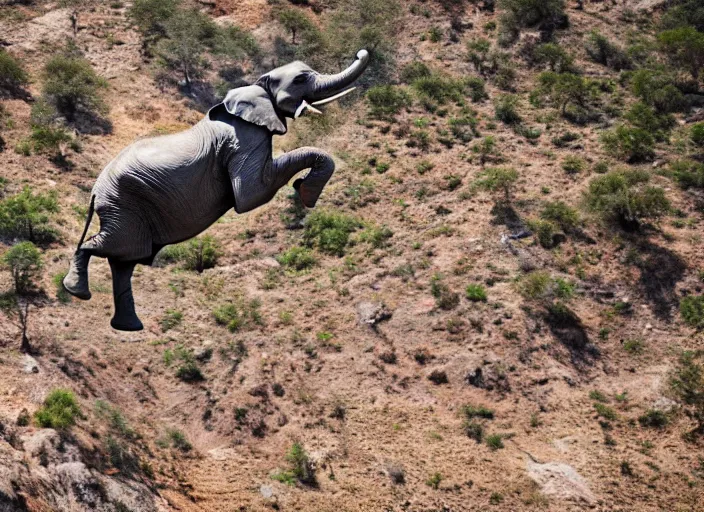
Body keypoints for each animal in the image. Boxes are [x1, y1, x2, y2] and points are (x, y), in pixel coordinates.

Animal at [63, 49, 372, 332]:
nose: (361, 52)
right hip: (125, 206)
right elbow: (250, 195)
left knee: (124, 263)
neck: (255, 87)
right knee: (107, 247)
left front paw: (304, 191)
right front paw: (305, 192)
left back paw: (129, 327)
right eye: (300, 79)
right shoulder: (246, 139)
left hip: (127, 211)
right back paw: (76, 291)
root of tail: (95, 190)